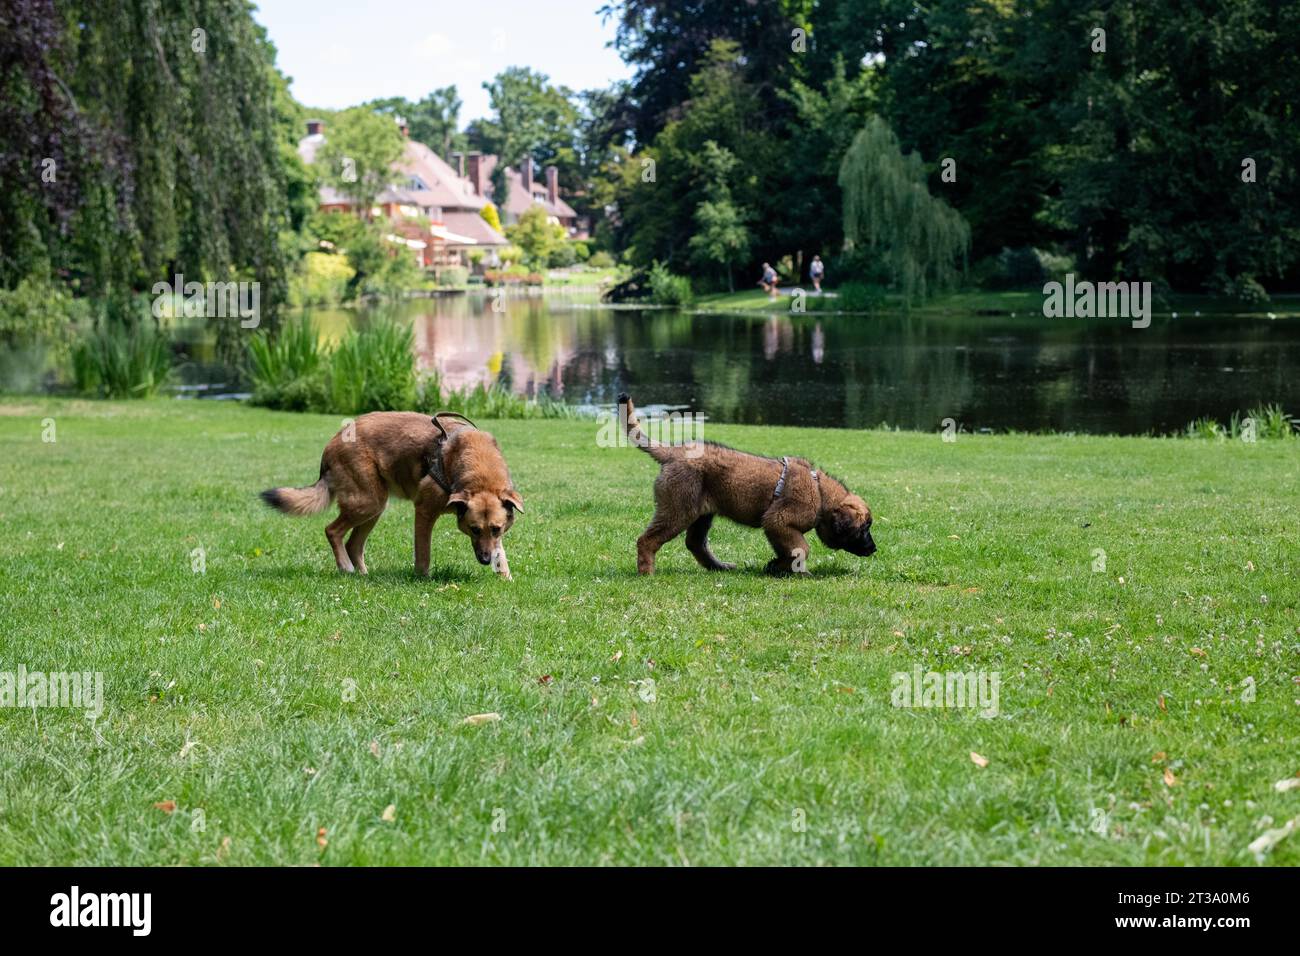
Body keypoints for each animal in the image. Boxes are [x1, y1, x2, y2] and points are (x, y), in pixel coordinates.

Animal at [258, 411, 522, 574]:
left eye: (496, 529)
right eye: (473, 529)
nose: (485, 560)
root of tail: (331, 445)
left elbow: (501, 553)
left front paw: (504, 576)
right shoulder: (424, 512)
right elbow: (423, 553)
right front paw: (422, 577)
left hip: (374, 507)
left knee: (353, 544)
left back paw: (363, 575)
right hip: (367, 503)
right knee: (332, 531)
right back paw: (345, 567)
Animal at [618, 395, 873, 574]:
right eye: (863, 529)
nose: (874, 549)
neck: (820, 492)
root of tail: (673, 452)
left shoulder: (776, 528)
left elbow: (789, 550)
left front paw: (776, 566)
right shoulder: (779, 521)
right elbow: (802, 548)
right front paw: (794, 569)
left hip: (701, 514)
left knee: (695, 543)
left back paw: (719, 567)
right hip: (679, 510)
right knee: (647, 540)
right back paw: (647, 571)